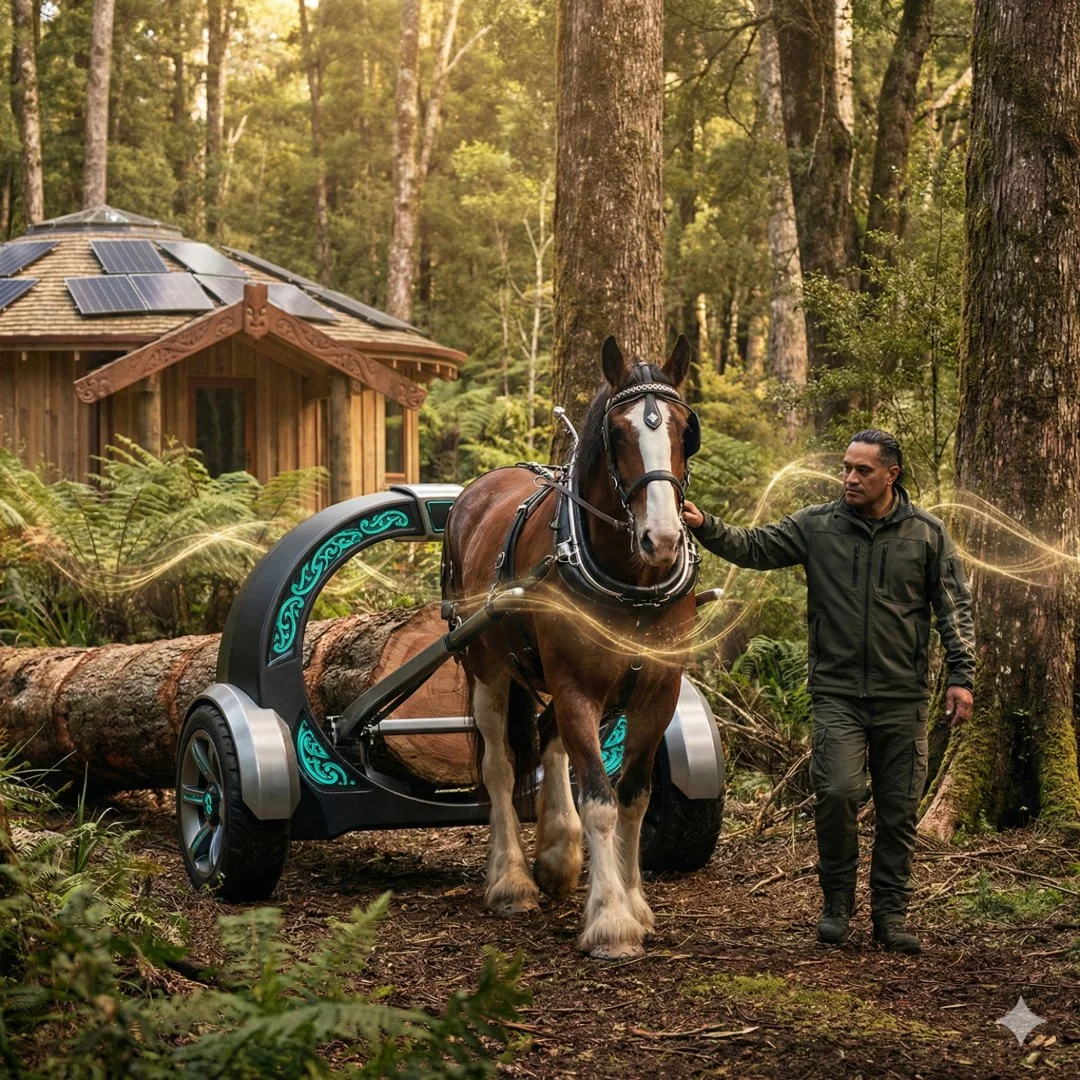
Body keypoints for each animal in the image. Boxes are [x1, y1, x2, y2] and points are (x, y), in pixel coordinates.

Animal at [442, 334, 700, 958]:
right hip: (488, 668)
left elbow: (633, 796)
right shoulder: (577, 685)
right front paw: (610, 920)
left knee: (549, 741)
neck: (633, 583)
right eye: (619, 434)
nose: (662, 539)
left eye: (686, 430)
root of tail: (477, 489)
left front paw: (635, 902)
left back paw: (558, 851)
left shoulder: (657, 692)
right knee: (501, 765)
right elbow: (601, 801)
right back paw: (511, 880)